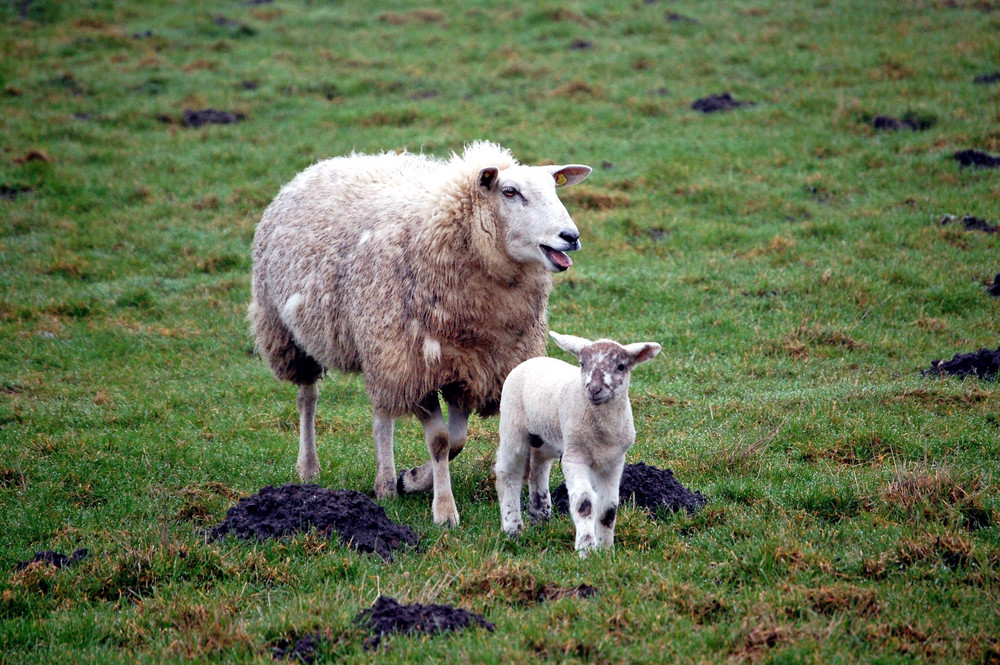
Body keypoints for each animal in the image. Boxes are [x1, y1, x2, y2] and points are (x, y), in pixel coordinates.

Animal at [252, 143, 592, 528]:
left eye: (555, 189)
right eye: (509, 192)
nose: (571, 237)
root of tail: (331, 162)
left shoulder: (468, 368)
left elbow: (457, 441)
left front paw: (413, 479)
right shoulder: (418, 365)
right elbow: (441, 441)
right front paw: (444, 510)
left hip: (380, 345)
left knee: (381, 413)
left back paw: (385, 482)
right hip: (291, 332)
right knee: (307, 398)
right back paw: (309, 467)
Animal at [496, 330, 660, 552]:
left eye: (621, 366)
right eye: (582, 364)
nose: (594, 389)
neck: (603, 431)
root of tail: (533, 360)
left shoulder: (614, 461)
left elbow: (608, 509)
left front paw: (606, 550)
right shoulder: (575, 457)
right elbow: (584, 504)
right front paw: (586, 549)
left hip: (546, 437)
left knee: (538, 467)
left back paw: (540, 518)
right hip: (513, 426)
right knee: (508, 473)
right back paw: (513, 528)